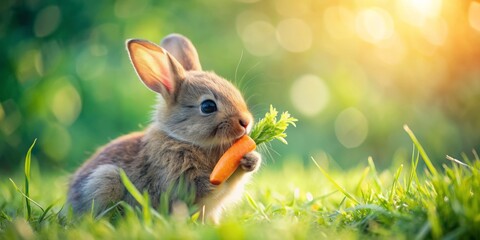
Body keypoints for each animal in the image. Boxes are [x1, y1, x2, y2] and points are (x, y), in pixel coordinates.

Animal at [65, 33, 260, 223]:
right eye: (208, 106)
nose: (246, 122)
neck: (183, 139)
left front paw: (250, 160)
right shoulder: (181, 178)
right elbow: (211, 187)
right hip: (106, 179)